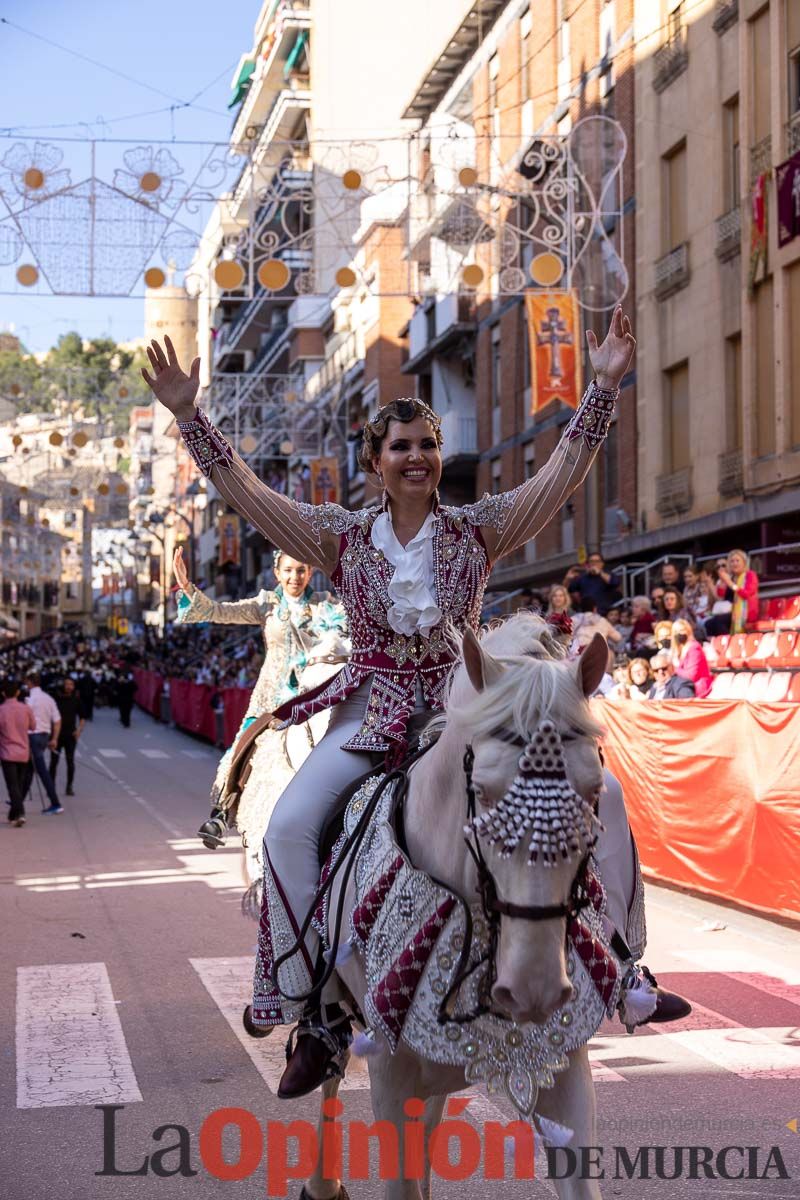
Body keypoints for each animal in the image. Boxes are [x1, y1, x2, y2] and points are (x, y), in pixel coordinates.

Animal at [303, 619, 609, 1200]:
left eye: (595, 787)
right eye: (481, 791)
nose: (533, 987)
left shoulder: (567, 1069)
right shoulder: (390, 1075)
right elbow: (400, 1175)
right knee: (328, 1073)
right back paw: (322, 1182)